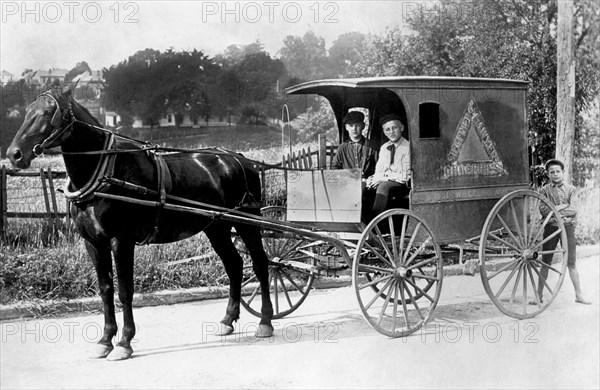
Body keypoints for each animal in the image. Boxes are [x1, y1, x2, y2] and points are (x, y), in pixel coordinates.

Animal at [6, 84, 274, 362]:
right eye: (28, 111)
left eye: (49, 112)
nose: (14, 154)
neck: (105, 172)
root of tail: (240, 159)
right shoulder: (94, 243)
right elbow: (105, 289)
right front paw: (105, 340)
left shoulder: (121, 241)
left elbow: (125, 291)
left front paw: (124, 342)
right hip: (216, 228)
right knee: (234, 265)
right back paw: (227, 320)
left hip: (247, 223)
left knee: (261, 263)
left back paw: (265, 321)